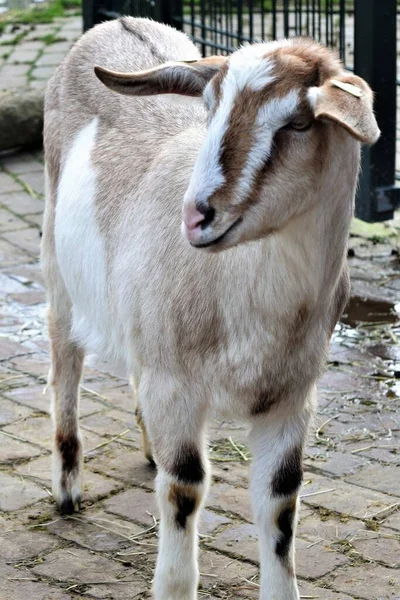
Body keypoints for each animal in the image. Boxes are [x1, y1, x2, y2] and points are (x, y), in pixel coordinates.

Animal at [42, 17, 380, 600]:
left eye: (298, 123)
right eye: (209, 107)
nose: (198, 215)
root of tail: (115, 22)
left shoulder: (292, 397)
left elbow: (281, 501)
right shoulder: (176, 385)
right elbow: (184, 487)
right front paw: (173, 585)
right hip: (57, 266)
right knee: (66, 361)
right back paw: (67, 491)